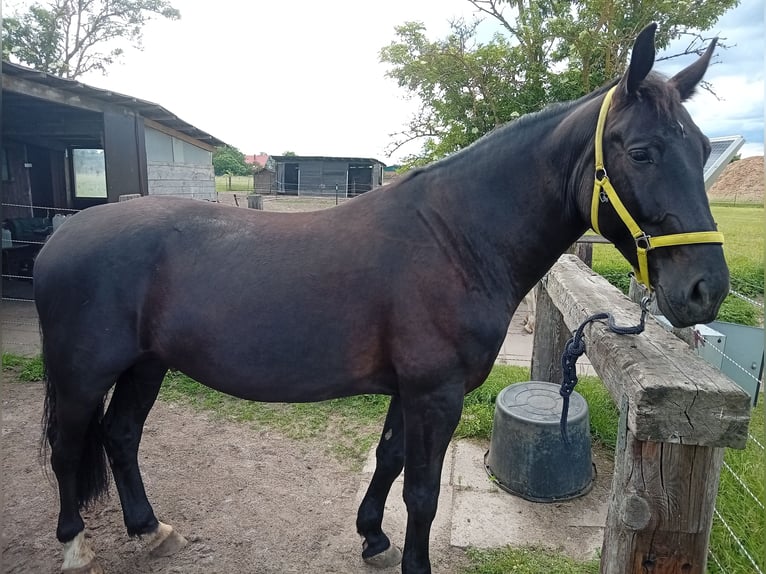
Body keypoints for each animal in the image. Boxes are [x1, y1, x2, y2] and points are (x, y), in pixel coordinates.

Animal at [35, 23, 728, 574]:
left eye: (701, 149)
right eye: (641, 151)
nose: (706, 289)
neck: (455, 239)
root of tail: (62, 235)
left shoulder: (410, 390)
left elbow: (390, 460)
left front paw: (372, 537)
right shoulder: (435, 393)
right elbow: (422, 492)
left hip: (146, 366)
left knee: (121, 436)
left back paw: (151, 530)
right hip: (82, 373)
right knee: (69, 447)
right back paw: (74, 546)